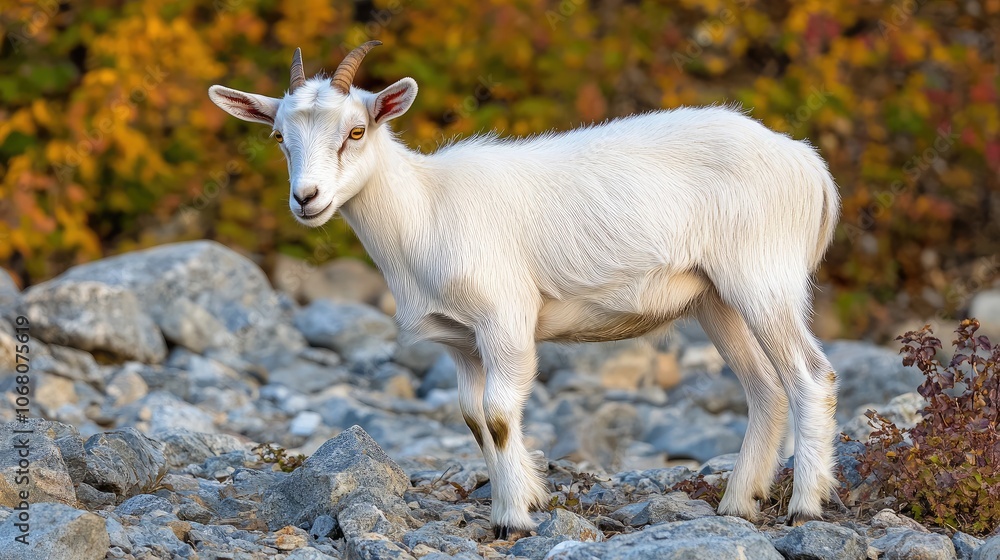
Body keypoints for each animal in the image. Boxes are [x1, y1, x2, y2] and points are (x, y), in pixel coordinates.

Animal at [209, 42, 841, 538]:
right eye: (278, 136)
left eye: (356, 131)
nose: (307, 199)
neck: (425, 208)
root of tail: (807, 163)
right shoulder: (461, 342)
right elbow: (472, 418)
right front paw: (521, 500)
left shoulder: (506, 318)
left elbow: (498, 415)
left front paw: (515, 520)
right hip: (715, 300)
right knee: (765, 389)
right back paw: (739, 504)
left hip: (762, 279)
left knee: (811, 376)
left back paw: (805, 509)